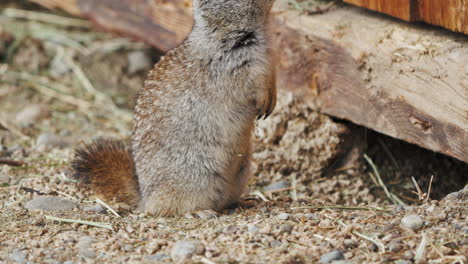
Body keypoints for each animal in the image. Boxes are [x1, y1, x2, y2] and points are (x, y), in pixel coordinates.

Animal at [71, 0, 276, 217]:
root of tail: (144, 198)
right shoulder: (237, 67)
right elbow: (255, 85)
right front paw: (263, 105)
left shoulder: (270, 61)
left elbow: (272, 80)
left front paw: (272, 102)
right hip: (198, 176)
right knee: (171, 207)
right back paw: (201, 212)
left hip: (241, 173)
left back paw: (245, 202)